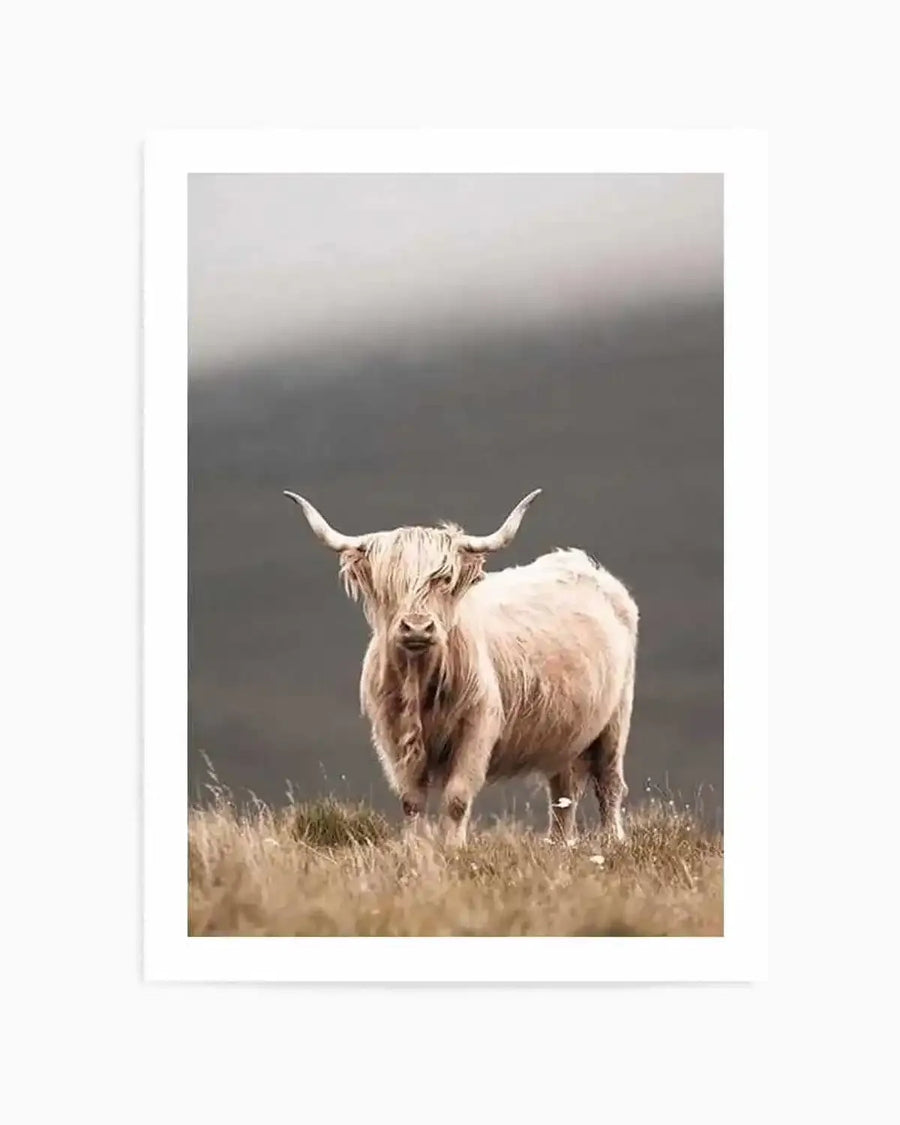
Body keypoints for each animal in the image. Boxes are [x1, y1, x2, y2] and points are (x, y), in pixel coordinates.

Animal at [284, 489, 638, 846]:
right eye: (389, 584)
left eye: (444, 579)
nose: (417, 627)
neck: (421, 683)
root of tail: (580, 563)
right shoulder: (392, 734)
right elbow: (411, 800)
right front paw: (416, 847)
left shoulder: (478, 728)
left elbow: (457, 797)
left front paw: (454, 848)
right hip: (565, 732)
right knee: (563, 790)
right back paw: (558, 844)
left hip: (616, 719)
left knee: (609, 782)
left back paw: (613, 839)